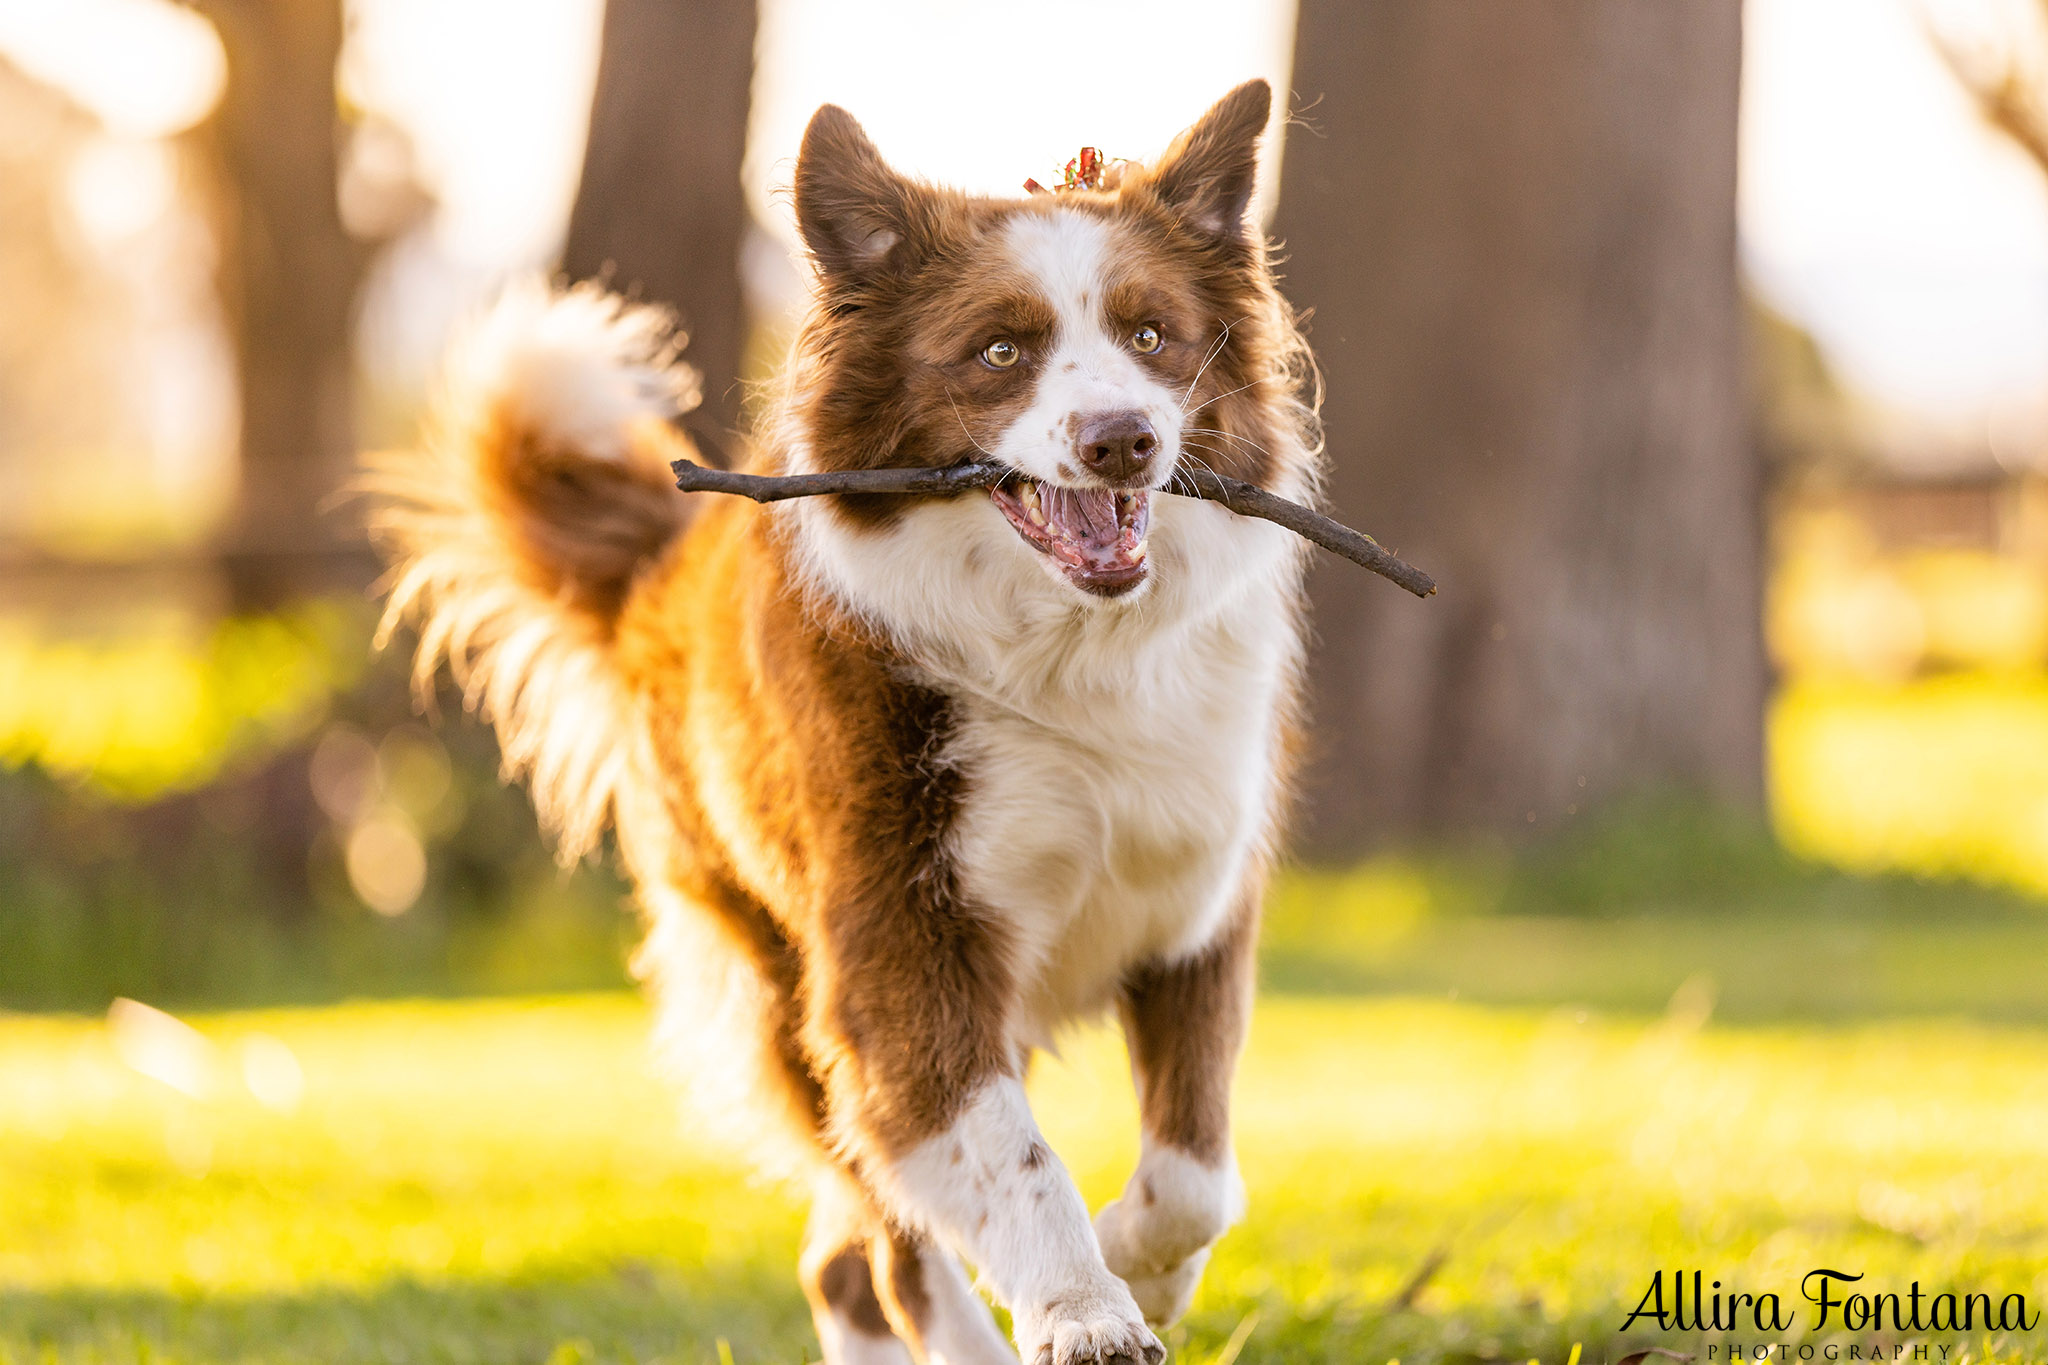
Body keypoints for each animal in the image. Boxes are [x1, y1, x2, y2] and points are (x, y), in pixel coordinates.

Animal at [366, 85, 1318, 1365]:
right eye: (1000, 351)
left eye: (1152, 335)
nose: (1120, 438)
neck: (1067, 652)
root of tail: (656, 575)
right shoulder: (894, 950)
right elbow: (1011, 1161)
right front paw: (1084, 1309)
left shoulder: (1191, 912)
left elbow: (1192, 1175)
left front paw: (1137, 1267)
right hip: (780, 981)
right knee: (879, 1251)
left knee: (846, 1252)